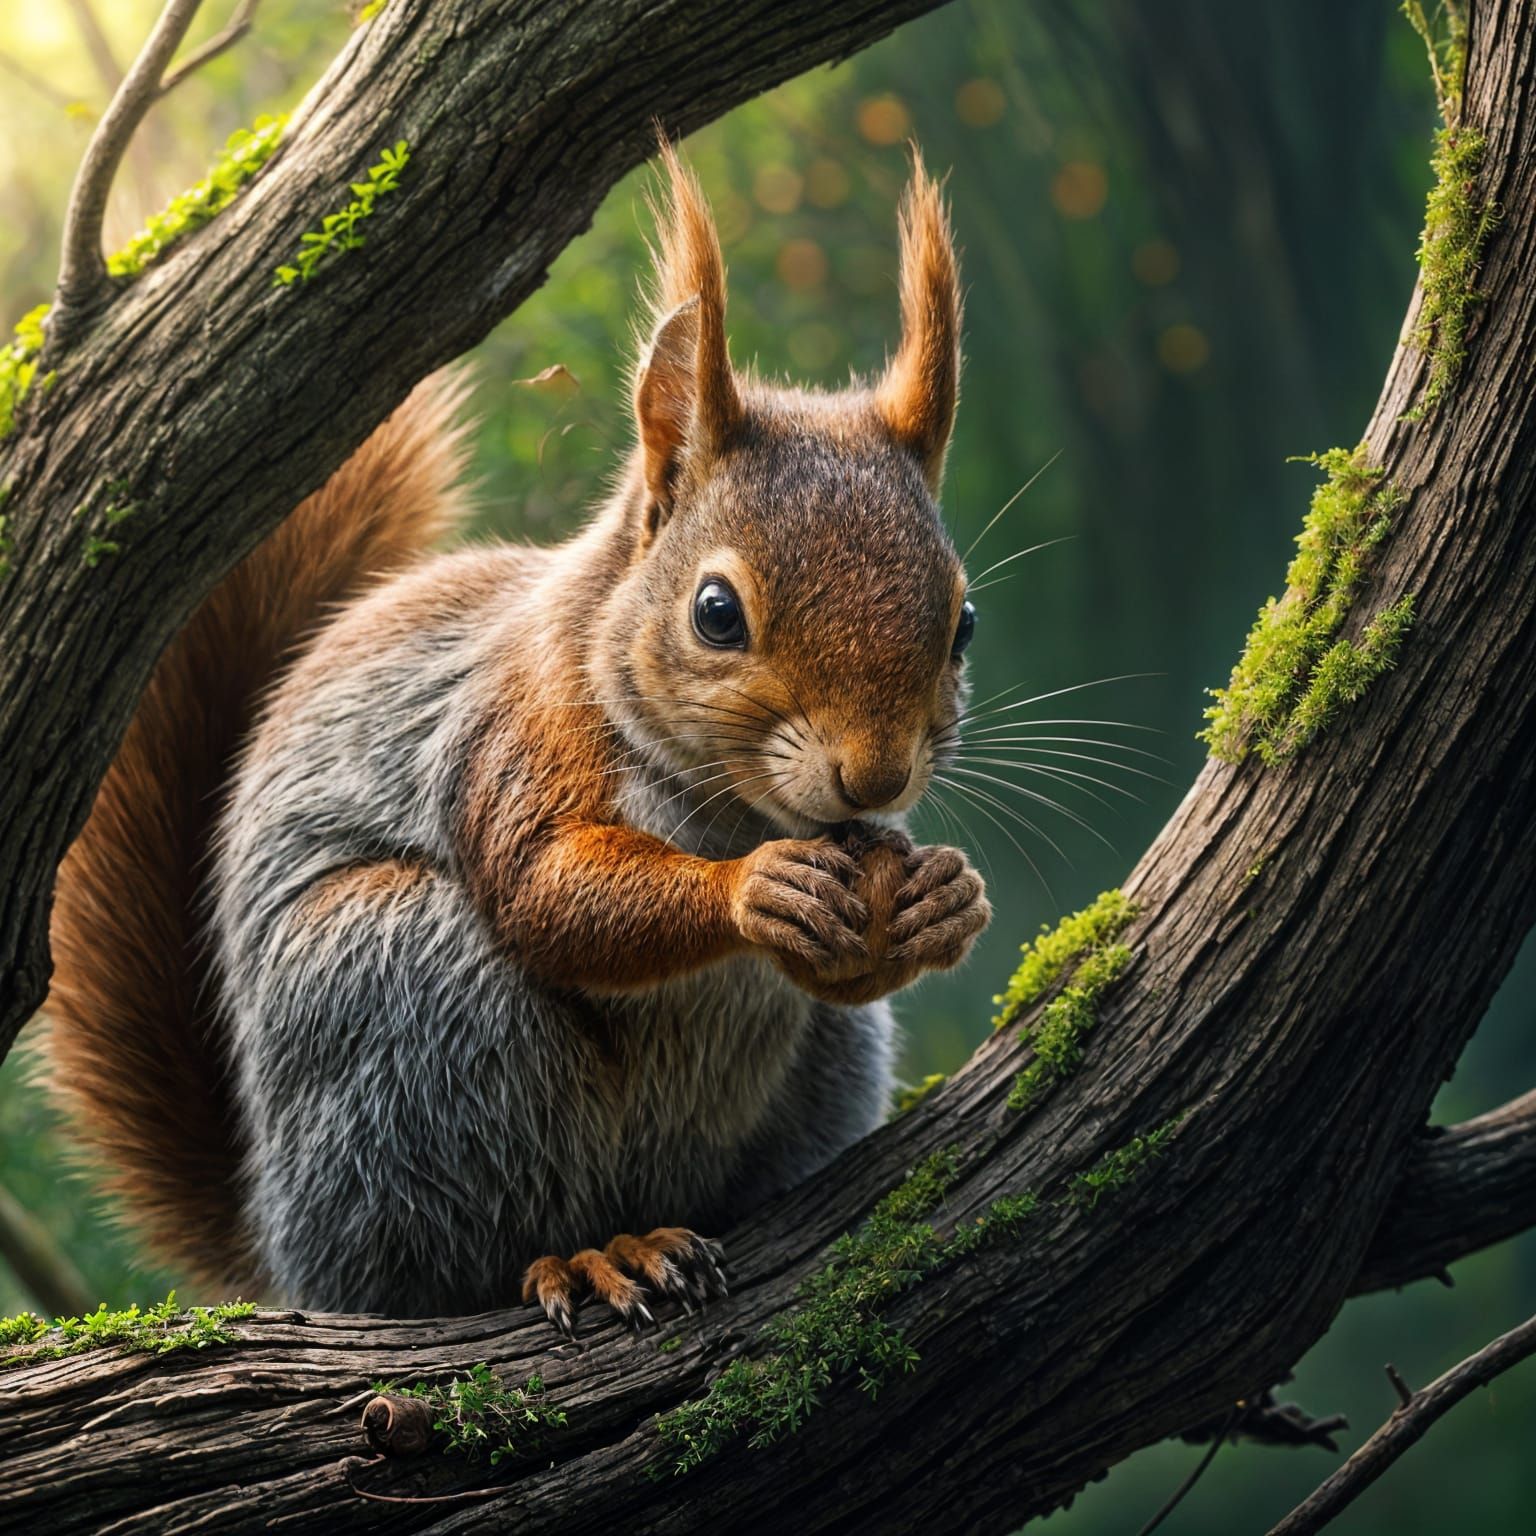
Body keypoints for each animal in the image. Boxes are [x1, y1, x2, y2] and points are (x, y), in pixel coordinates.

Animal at [43, 143, 991, 1331]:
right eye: (715, 613)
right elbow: (547, 888)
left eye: (964, 622)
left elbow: (850, 967)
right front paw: (750, 891)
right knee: (452, 1248)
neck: (732, 806)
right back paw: (588, 1256)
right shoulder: (511, 732)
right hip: (401, 991)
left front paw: (944, 898)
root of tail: (280, 1242)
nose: (874, 777)